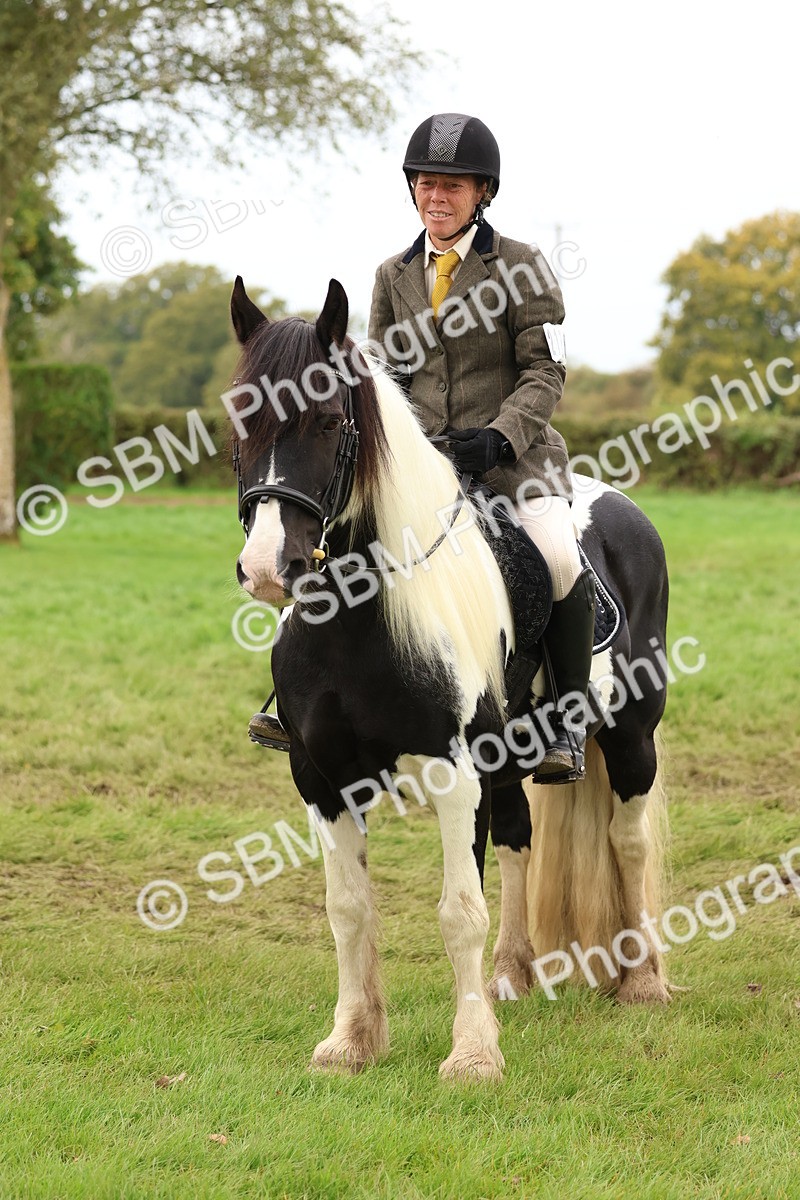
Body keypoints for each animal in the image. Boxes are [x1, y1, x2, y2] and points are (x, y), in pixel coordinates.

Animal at [227, 276, 671, 1081]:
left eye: (330, 419)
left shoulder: (452, 770)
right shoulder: (321, 776)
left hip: (631, 738)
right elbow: (349, 909)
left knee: (628, 841)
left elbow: (459, 911)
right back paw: (513, 976)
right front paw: (351, 1040)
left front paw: (472, 1056)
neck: (358, 619)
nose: (271, 567)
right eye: (241, 417)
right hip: (514, 761)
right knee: (521, 839)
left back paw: (642, 980)